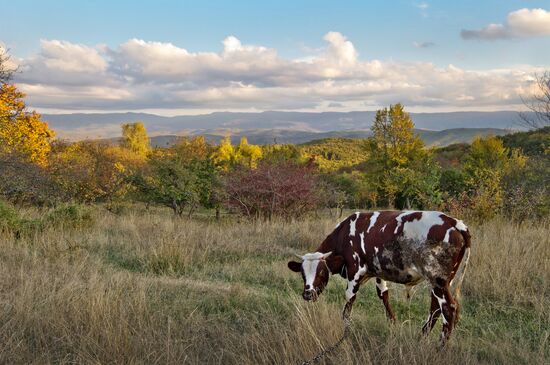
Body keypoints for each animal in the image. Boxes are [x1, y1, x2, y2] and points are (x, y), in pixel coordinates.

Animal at [288, 209, 474, 340]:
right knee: (435, 308)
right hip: (443, 281)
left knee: (448, 309)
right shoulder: (378, 271)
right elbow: (383, 294)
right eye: (302, 274)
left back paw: (439, 347)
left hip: (437, 280)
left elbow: (349, 300)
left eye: (321, 271)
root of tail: (455, 222)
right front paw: (392, 322)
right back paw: (421, 337)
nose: (308, 294)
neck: (345, 233)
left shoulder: (354, 270)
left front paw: (346, 328)